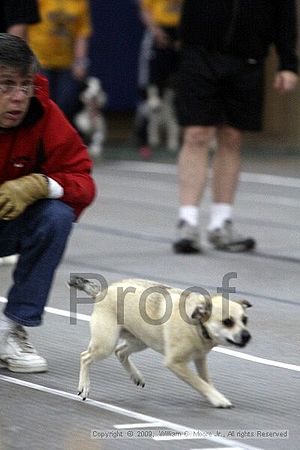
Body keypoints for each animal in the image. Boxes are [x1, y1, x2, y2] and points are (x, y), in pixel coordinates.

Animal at [69, 278, 251, 408]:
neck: (197, 325)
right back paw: (84, 386)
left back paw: (136, 376)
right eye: (228, 322)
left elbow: (206, 380)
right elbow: (198, 382)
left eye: (244, 320)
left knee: (120, 352)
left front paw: (212, 394)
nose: (247, 336)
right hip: (105, 344)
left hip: (141, 341)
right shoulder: (175, 363)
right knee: (85, 357)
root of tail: (102, 292)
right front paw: (217, 398)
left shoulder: (200, 358)